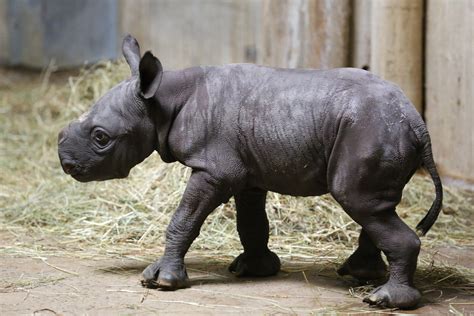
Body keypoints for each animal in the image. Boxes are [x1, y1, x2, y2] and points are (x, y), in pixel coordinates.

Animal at [58, 35, 440, 308]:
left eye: (101, 137)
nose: (65, 163)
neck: (162, 102)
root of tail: (417, 121)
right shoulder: (247, 172)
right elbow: (252, 223)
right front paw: (255, 270)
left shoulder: (214, 170)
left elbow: (185, 218)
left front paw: (161, 281)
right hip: (378, 131)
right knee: (372, 206)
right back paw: (360, 277)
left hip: (370, 130)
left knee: (357, 199)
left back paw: (383, 300)